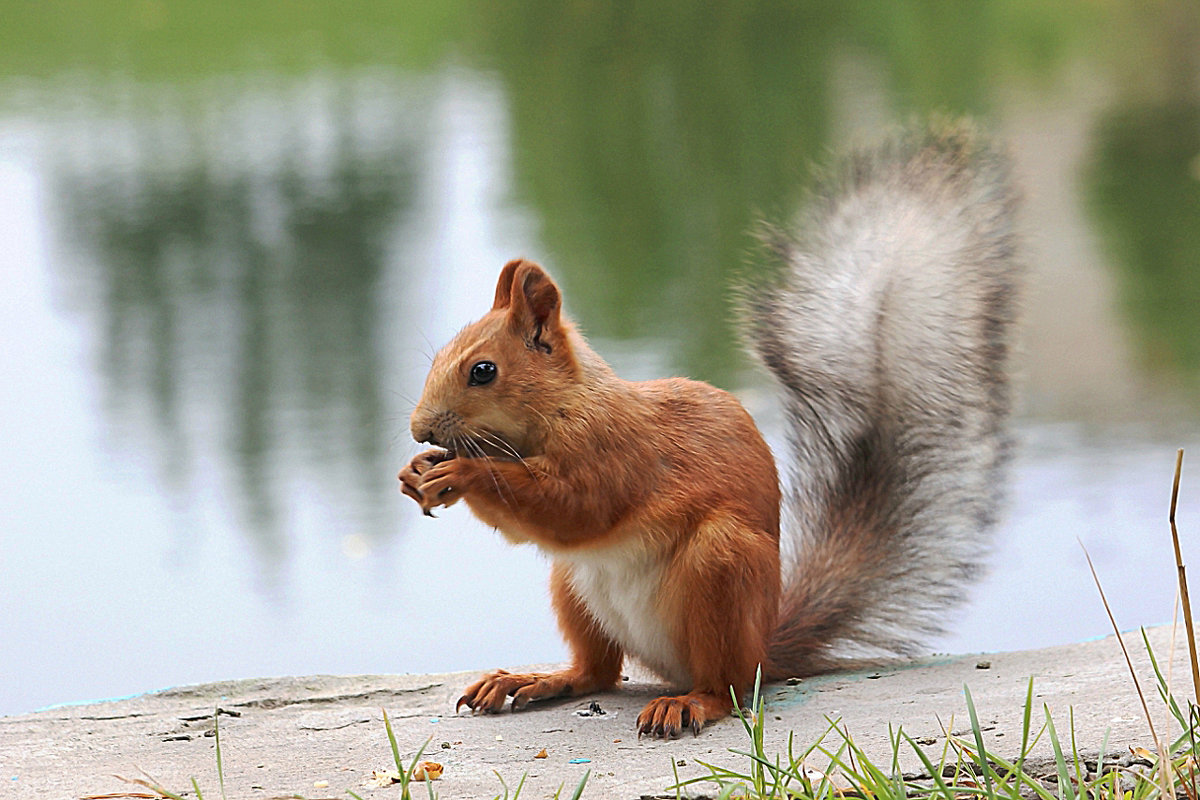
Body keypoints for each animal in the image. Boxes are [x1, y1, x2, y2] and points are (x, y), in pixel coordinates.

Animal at [398, 122, 1017, 743]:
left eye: (483, 371)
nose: (418, 429)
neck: (564, 407)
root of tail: (765, 647)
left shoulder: (615, 453)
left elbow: (573, 507)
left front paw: (463, 471)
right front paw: (415, 474)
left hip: (720, 570)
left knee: (727, 685)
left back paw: (688, 703)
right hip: (572, 584)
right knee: (597, 672)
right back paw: (535, 680)